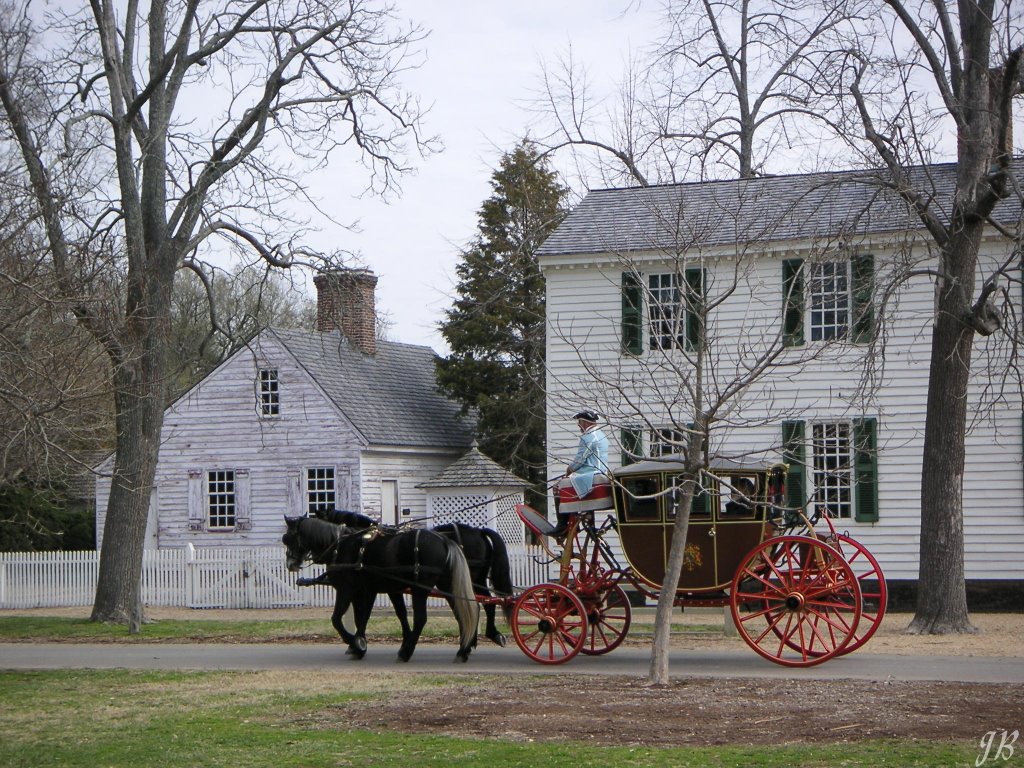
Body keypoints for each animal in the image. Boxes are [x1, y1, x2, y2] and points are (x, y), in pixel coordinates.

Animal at [284, 514, 479, 663]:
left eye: (287, 539)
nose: (290, 564)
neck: (340, 546)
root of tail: (445, 541)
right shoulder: (369, 590)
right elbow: (364, 617)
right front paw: (359, 645)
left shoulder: (347, 589)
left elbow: (337, 619)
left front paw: (355, 643)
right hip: (447, 585)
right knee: (462, 613)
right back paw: (462, 651)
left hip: (420, 588)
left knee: (421, 619)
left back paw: (406, 653)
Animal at [313, 512, 512, 651]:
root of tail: (478, 531)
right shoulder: (379, 588)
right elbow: (382, 613)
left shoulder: (367, 588)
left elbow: (367, 614)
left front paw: (357, 643)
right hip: (472, 580)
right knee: (484, 604)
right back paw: (483, 637)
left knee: (478, 605)